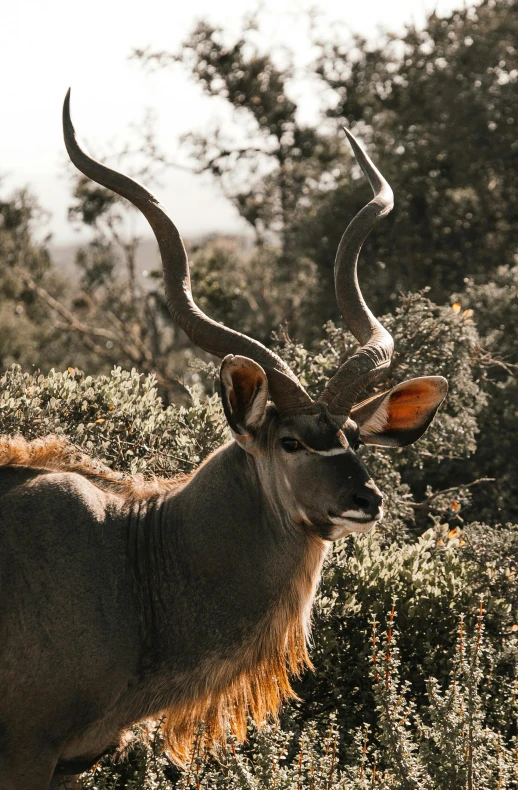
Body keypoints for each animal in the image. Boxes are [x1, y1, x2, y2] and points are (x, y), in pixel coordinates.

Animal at [0, 89, 446, 788]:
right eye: (290, 442)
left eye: (353, 435)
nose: (367, 500)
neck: (130, 552)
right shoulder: (26, 749)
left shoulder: (67, 763)